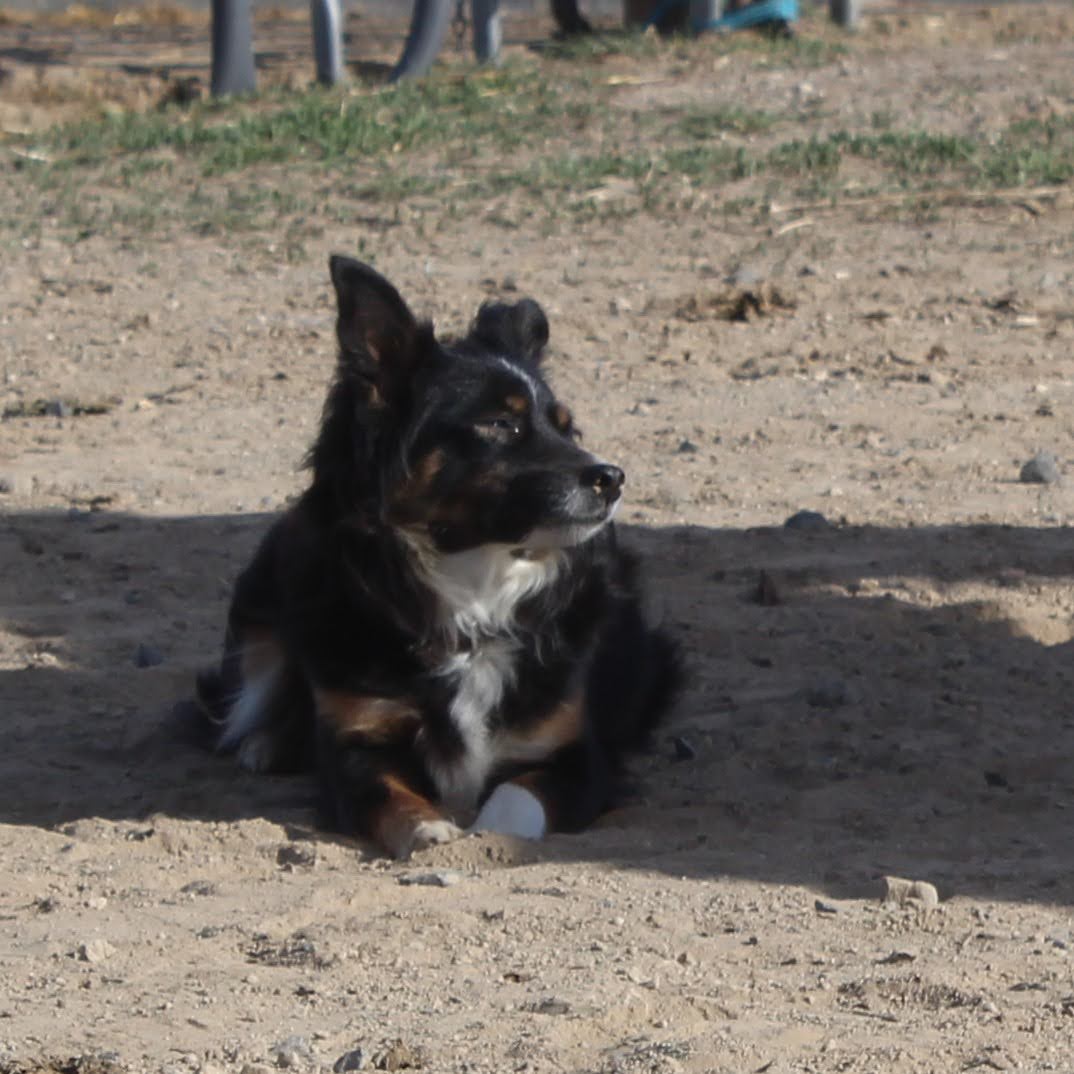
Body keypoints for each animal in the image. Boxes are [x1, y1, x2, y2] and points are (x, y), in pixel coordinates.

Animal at [194, 256, 680, 859]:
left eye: (566, 427)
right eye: (500, 423)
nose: (612, 478)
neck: (472, 589)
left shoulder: (575, 752)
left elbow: (516, 798)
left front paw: (488, 835)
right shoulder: (358, 743)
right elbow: (384, 794)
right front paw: (426, 829)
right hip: (263, 608)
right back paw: (264, 742)